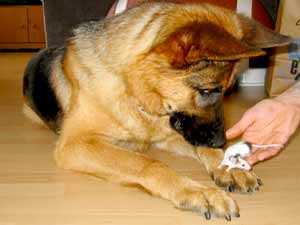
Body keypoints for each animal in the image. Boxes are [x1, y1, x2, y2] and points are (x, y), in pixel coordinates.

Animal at [23, 1, 290, 220]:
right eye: (207, 90)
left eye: (228, 91)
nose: (220, 141)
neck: (131, 88)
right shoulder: (75, 144)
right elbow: (148, 163)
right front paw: (198, 191)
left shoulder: (170, 131)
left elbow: (200, 147)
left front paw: (229, 164)